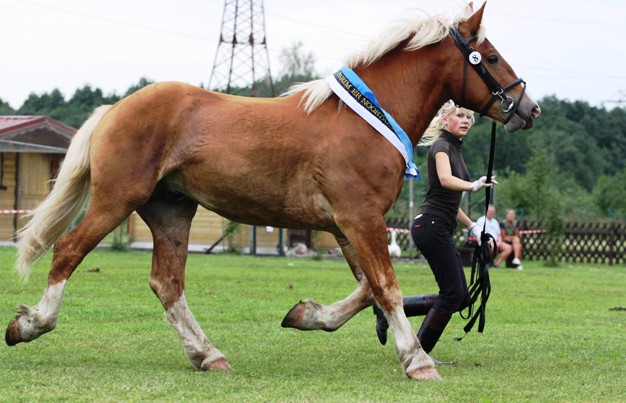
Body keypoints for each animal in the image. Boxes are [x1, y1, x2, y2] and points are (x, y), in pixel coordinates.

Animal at [4, 2, 536, 382]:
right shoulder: (360, 218)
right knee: (67, 251)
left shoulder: (346, 226)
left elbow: (368, 289)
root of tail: (115, 108)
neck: (368, 119)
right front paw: (418, 361)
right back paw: (30, 324)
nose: (528, 108)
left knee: (167, 283)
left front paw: (307, 315)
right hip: (117, 200)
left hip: (171, 211)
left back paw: (207, 354)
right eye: (490, 57)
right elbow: (386, 287)